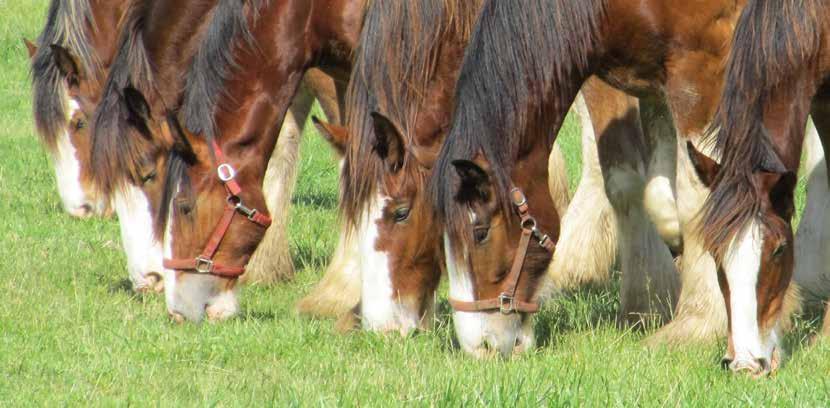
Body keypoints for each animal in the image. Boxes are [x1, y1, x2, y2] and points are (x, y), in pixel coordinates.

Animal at [428, 0, 808, 364]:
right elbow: (638, 187)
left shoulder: (701, 68)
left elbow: (700, 198)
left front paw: (698, 321)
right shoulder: (622, 76)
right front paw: (649, 300)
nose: (479, 347)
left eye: (480, 232)